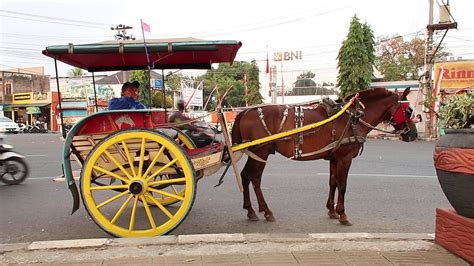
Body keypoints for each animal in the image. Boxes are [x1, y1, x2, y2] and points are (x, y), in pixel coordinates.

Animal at [231, 87, 416, 224]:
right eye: (408, 111)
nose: (413, 134)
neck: (354, 117)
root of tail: (245, 112)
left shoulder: (334, 158)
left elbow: (333, 182)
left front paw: (332, 210)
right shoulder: (345, 158)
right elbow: (343, 184)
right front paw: (342, 214)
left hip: (258, 153)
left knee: (246, 176)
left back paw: (251, 210)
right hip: (260, 152)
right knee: (253, 177)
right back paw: (264, 211)